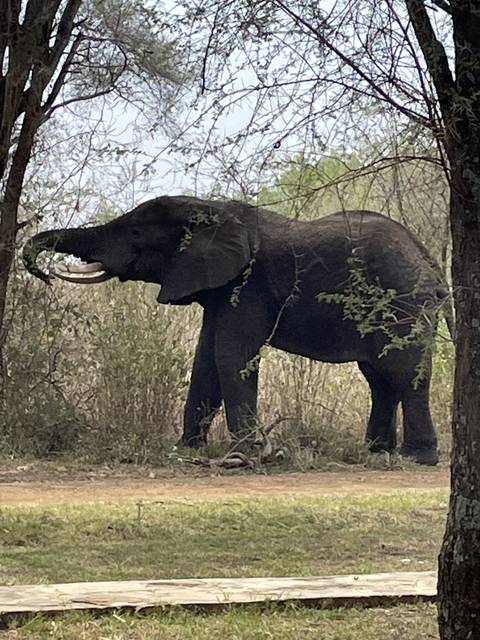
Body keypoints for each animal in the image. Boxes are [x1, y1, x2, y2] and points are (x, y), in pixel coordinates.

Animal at [23, 195, 450, 465]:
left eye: (136, 234)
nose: (43, 273)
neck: (210, 208)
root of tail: (429, 260)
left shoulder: (248, 284)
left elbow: (230, 353)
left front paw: (248, 453)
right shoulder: (219, 287)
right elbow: (206, 360)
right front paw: (188, 449)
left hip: (403, 303)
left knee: (404, 372)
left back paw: (419, 458)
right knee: (379, 377)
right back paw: (378, 454)